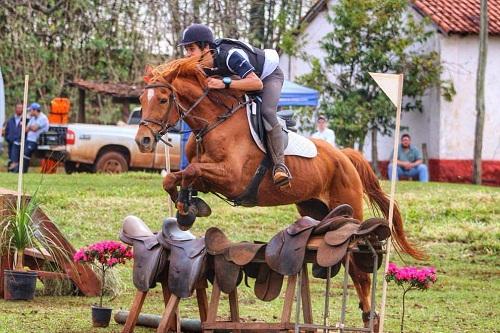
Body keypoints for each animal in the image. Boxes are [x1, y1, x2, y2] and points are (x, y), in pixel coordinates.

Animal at [134, 57, 422, 326]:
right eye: (140, 99)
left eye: (162, 99)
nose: (143, 141)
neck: (215, 123)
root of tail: (344, 155)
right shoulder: (208, 174)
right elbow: (177, 177)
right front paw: (186, 208)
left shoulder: (232, 178)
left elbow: (190, 172)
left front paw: (186, 208)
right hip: (316, 208)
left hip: (349, 209)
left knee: (358, 267)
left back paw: (369, 315)